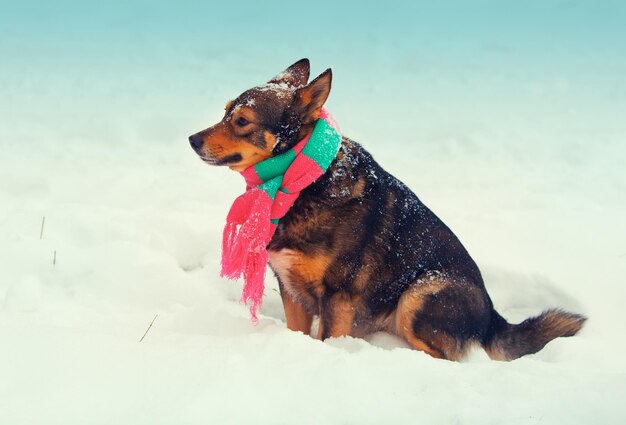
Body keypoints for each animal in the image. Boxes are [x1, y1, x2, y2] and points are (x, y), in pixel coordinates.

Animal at [186, 58, 584, 360]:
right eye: (225, 112)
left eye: (242, 121)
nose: (191, 139)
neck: (304, 181)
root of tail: (492, 317)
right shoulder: (291, 289)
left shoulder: (337, 297)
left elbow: (325, 339)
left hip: (421, 292)